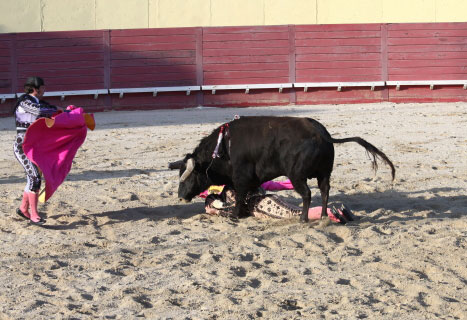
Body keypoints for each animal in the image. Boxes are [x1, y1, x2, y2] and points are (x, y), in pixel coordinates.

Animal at [172, 116, 394, 221]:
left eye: (189, 177)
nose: (180, 197)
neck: (223, 147)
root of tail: (321, 133)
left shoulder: (241, 178)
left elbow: (240, 195)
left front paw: (236, 214)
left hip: (297, 176)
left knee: (307, 194)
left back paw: (304, 218)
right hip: (324, 174)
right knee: (324, 192)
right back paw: (323, 215)